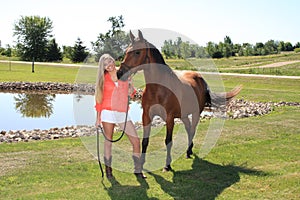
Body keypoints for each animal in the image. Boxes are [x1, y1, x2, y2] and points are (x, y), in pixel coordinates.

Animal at [117, 30, 241, 171]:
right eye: (126, 51)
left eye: (137, 52)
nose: (120, 73)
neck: (158, 89)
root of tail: (200, 79)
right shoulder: (147, 116)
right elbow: (145, 140)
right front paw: (141, 164)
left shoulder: (170, 118)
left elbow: (168, 141)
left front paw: (167, 165)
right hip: (184, 115)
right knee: (188, 128)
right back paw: (189, 150)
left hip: (196, 113)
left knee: (192, 130)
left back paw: (188, 151)